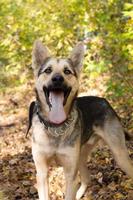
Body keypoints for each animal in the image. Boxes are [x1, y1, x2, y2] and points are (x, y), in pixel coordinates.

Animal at [26, 39, 133, 199]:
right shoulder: (42, 174)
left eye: (67, 71)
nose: (57, 79)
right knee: (87, 178)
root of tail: (104, 100)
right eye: (48, 70)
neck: (56, 127)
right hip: (82, 156)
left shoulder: (70, 174)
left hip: (120, 155)